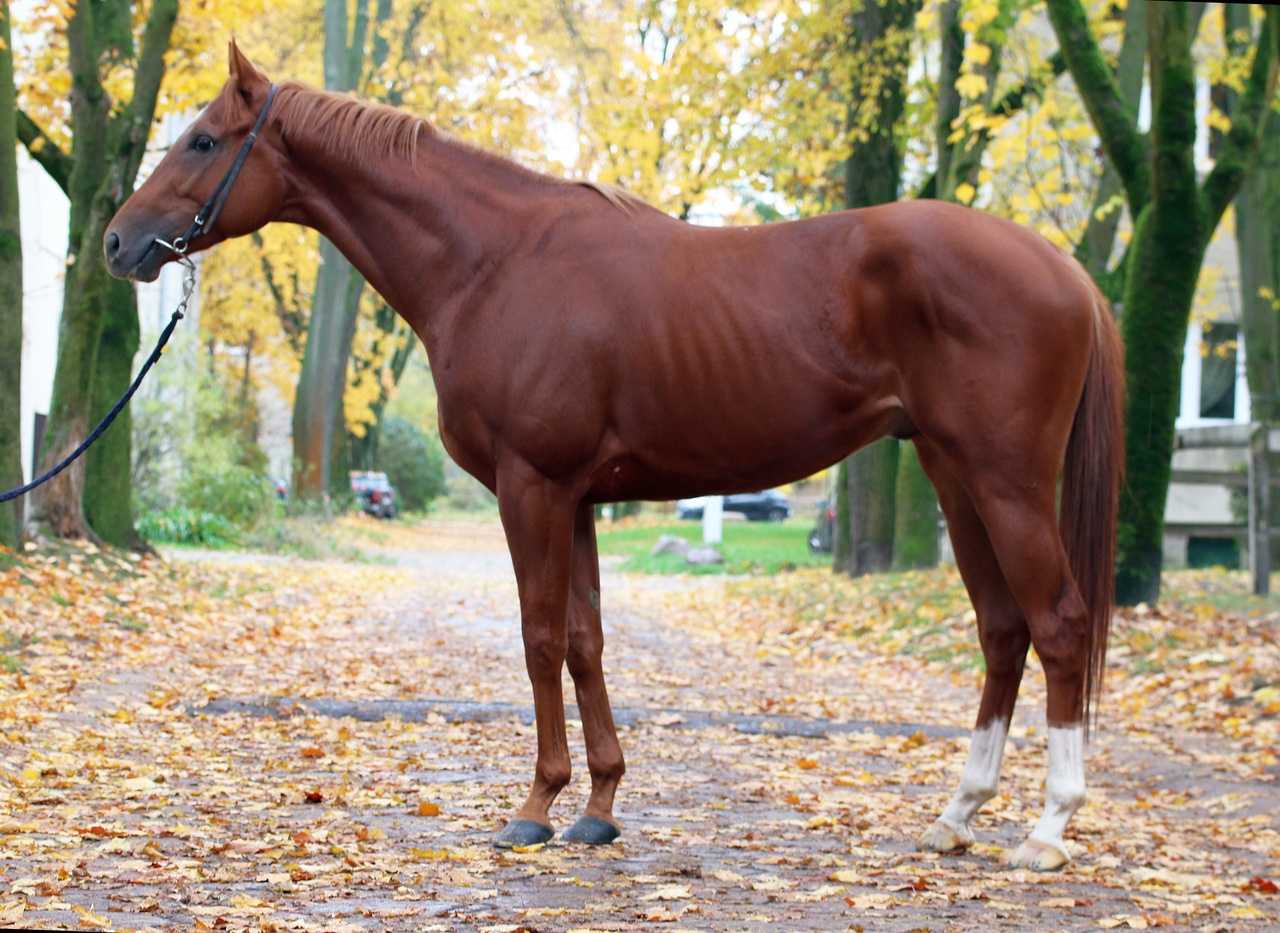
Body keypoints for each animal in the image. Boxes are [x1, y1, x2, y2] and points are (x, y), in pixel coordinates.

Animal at [106, 42, 1123, 871]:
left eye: (202, 141)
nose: (118, 242)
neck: (493, 260)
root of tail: (1067, 270)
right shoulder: (582, 496)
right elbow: (587, 642)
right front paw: (597, 806)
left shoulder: (533, 487)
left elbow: (539, 637)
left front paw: (533, 807)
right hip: (954, 475)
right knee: (1003, 629)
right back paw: (957, 815)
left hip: (1005, 481)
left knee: (1059, 624)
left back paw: (1047, 829)